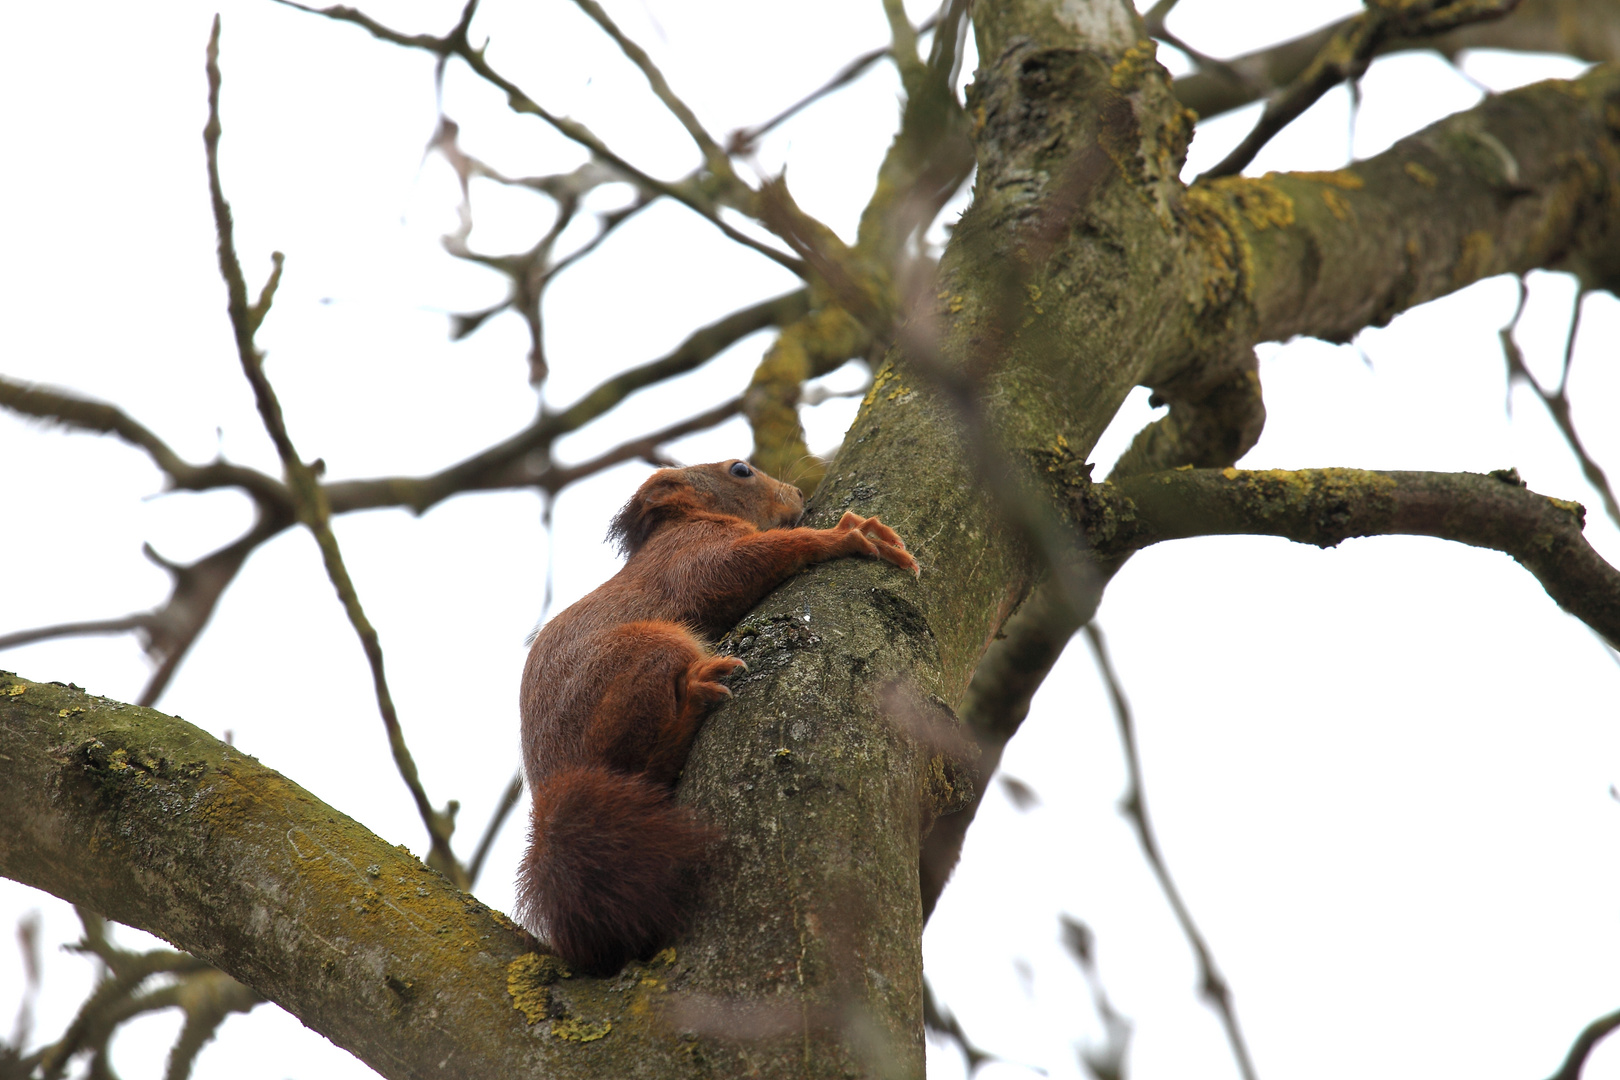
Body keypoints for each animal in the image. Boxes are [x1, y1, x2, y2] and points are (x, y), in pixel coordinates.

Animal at [521, 459, 920, 977]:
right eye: (740, 470)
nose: (797, 494)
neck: (685, 520)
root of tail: (559, 782)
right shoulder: (691, 553)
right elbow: (732, 567)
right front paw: (843, 534)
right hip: (650, 651)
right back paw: (695, 698)